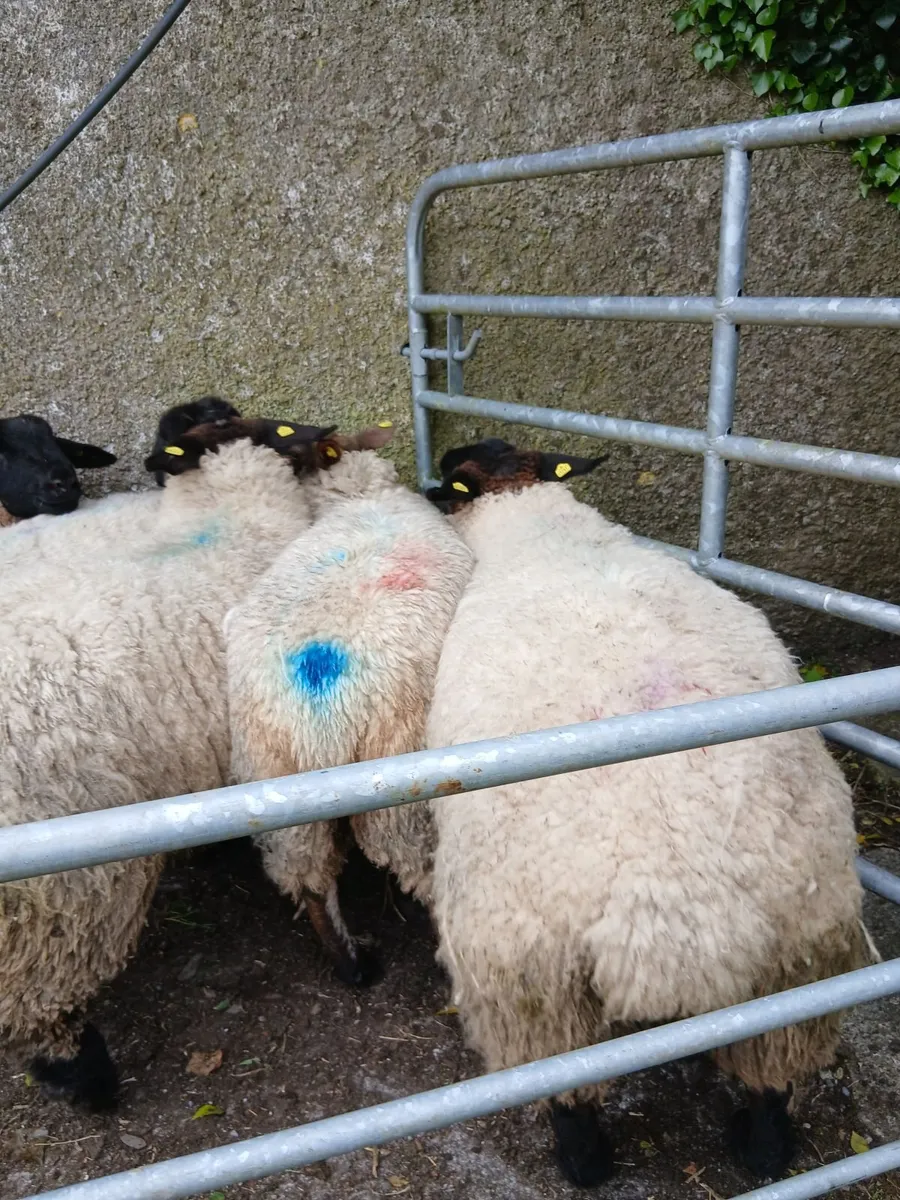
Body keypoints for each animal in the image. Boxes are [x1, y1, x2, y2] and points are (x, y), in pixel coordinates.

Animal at [225, 433, 474, 985]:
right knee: (418, 871)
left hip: (274, 776)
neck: (361, 495)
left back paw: (351, 962)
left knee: (311, 878)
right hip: (399, 790)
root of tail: (317, 713)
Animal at [411, 437, 869, 1187]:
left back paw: (585, 1161)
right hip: (803, 959)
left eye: (455, 472)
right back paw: (764, 1151)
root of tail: (671, 912)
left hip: (531, 985)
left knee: (568, 1091)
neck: (536, 522)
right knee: (772, 1074)